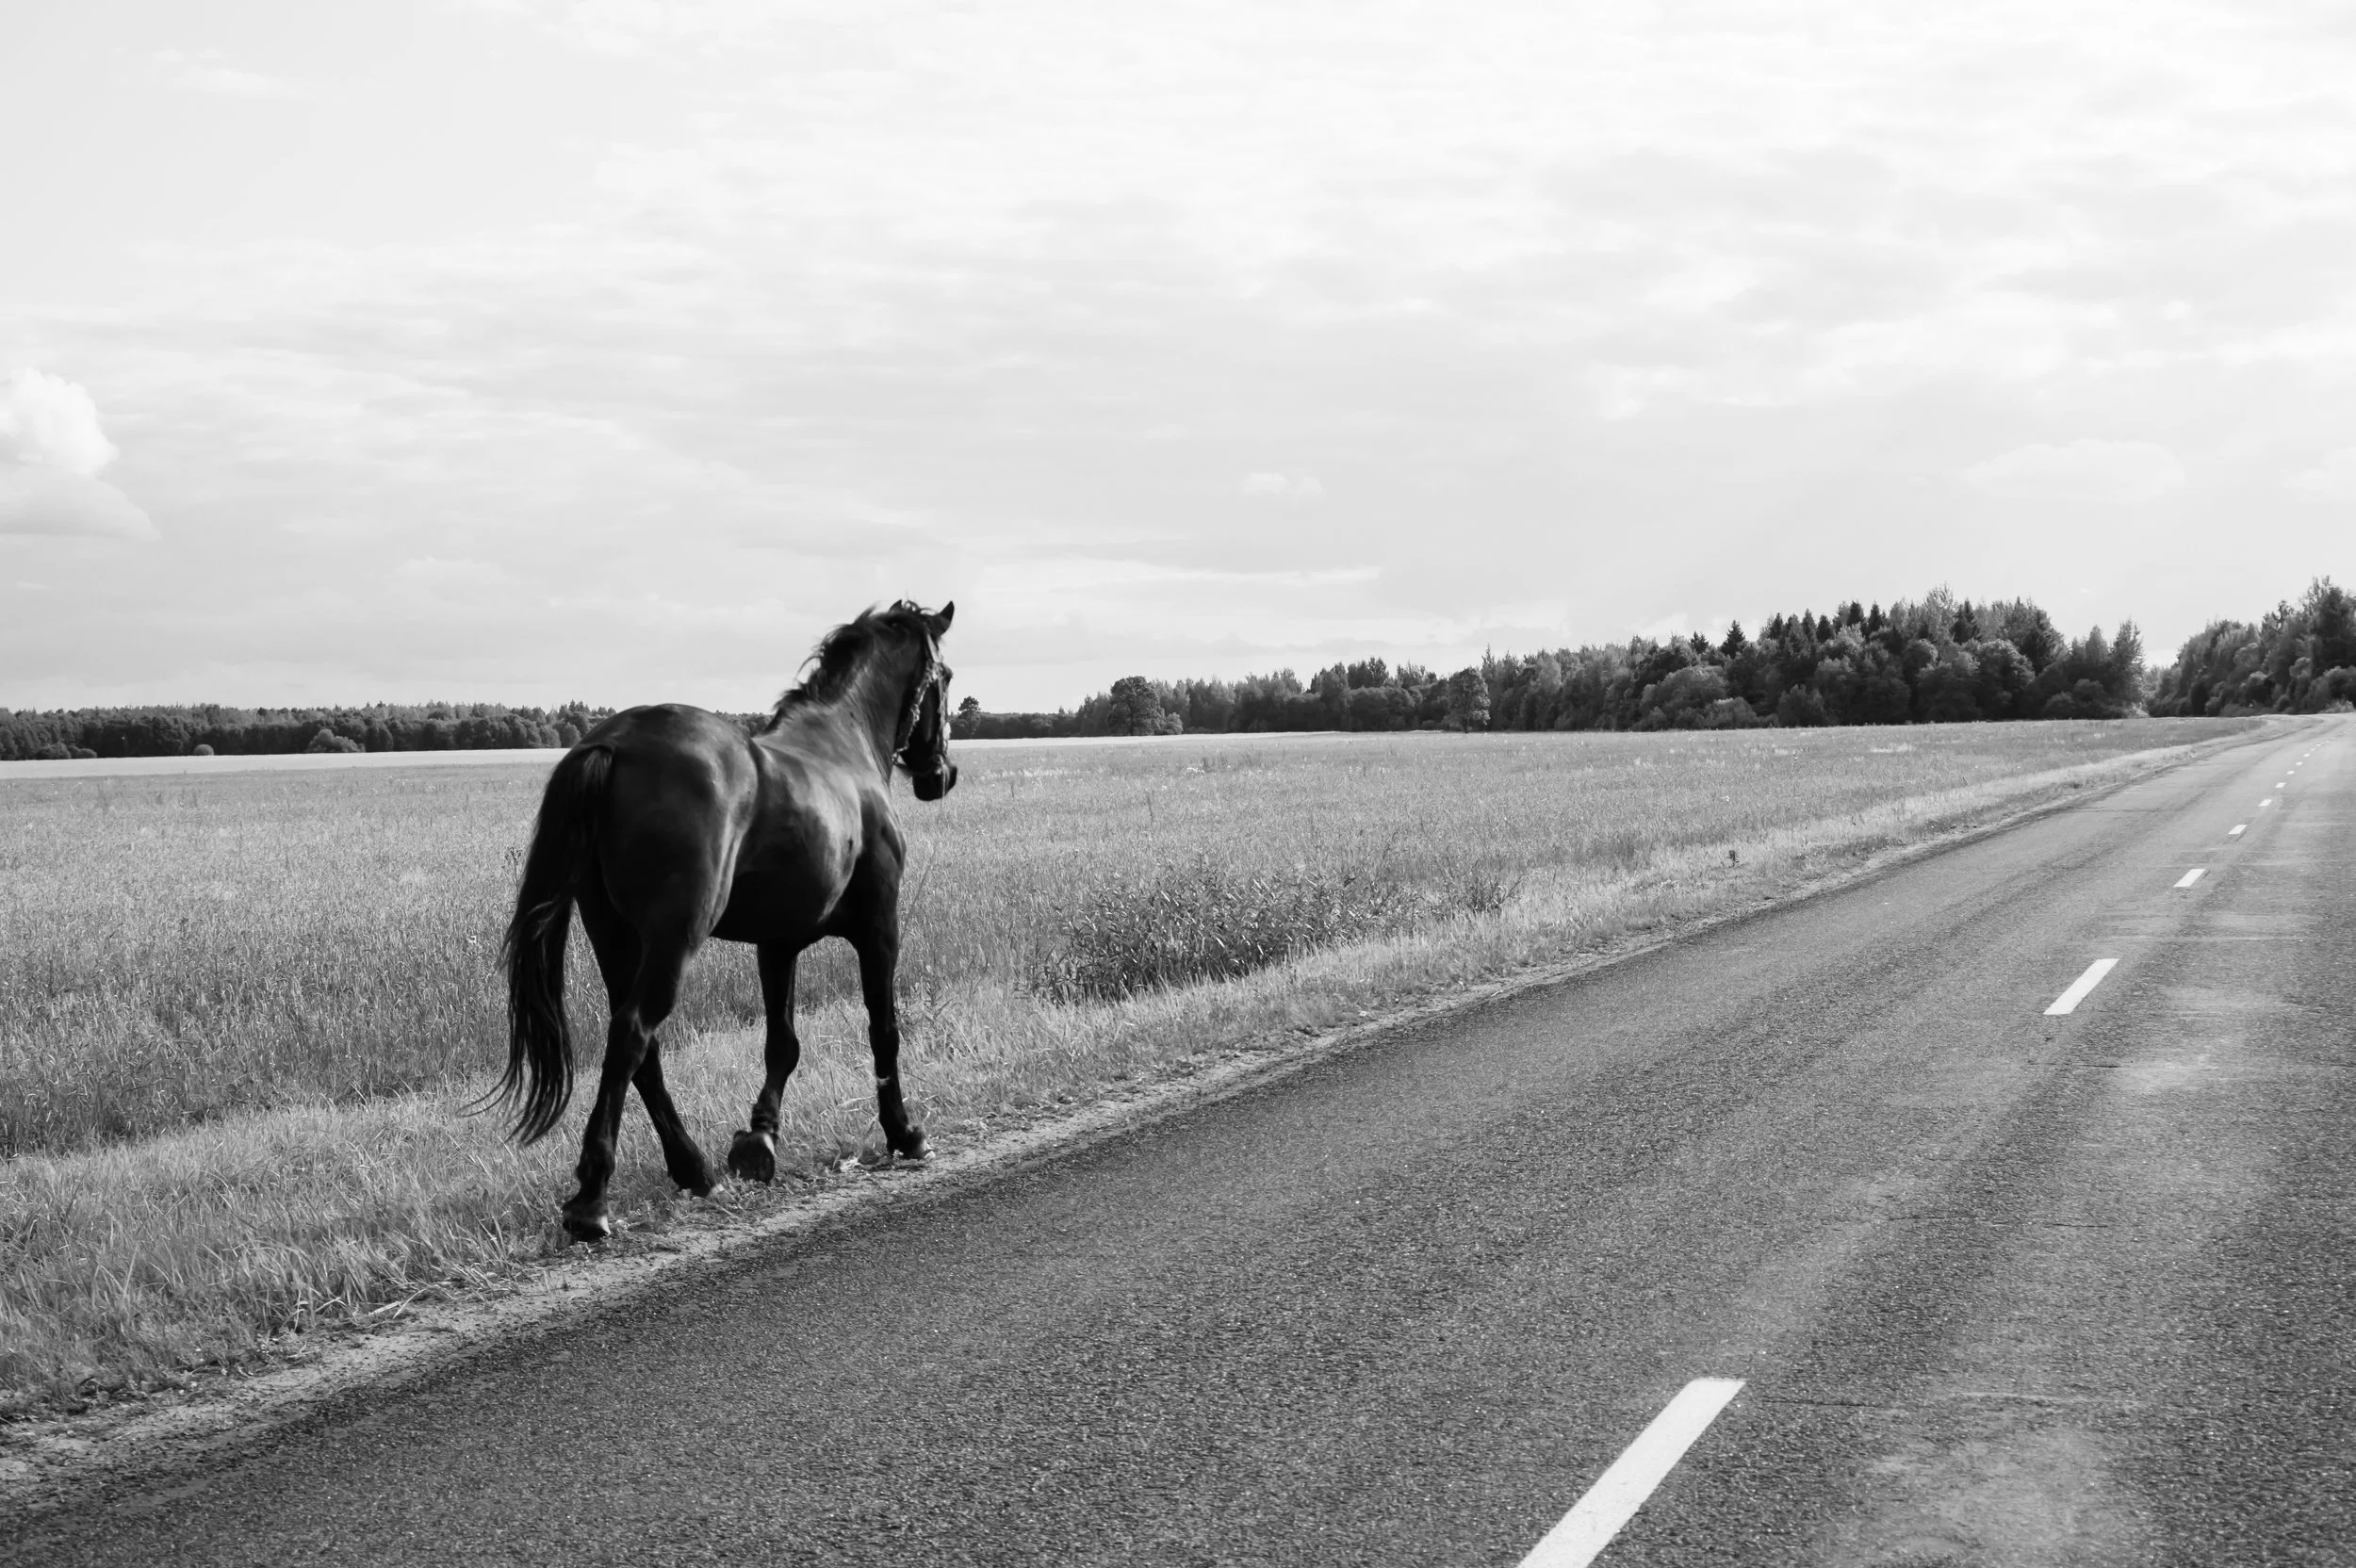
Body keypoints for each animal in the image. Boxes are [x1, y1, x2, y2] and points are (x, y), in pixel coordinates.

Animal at [493, 599, 958, 1242]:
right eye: (946, 677)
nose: (942, 775)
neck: (842, 744)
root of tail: (613, 744)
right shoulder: (879, 929)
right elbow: (883, 1030)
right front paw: (905, 1134)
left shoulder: (778, 942)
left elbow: (782, 1043)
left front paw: (759, 1141)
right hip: (672, 938)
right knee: (633, 1033)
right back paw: (592, 1199)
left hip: (614, 937)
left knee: (640, 1051)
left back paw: (693, 1170)